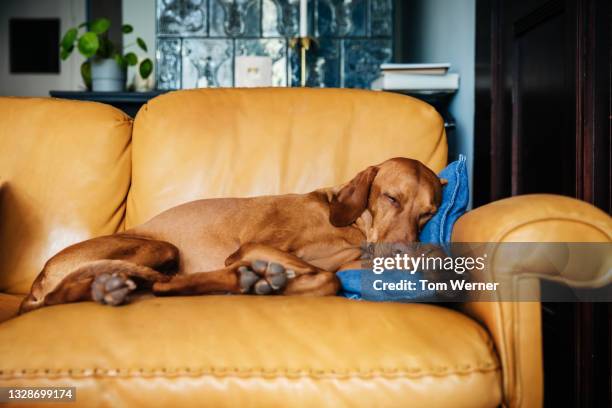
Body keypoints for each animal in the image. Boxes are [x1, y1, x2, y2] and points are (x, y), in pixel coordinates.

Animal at [19, 158, 444, 314]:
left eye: (428, 213)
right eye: (391, 197)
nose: (403, 254)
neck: (352, 229)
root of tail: (40, 275)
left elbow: (331, 277)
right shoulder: (255, 244)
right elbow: (327, 277)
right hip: (160, 246)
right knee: (63, 295)